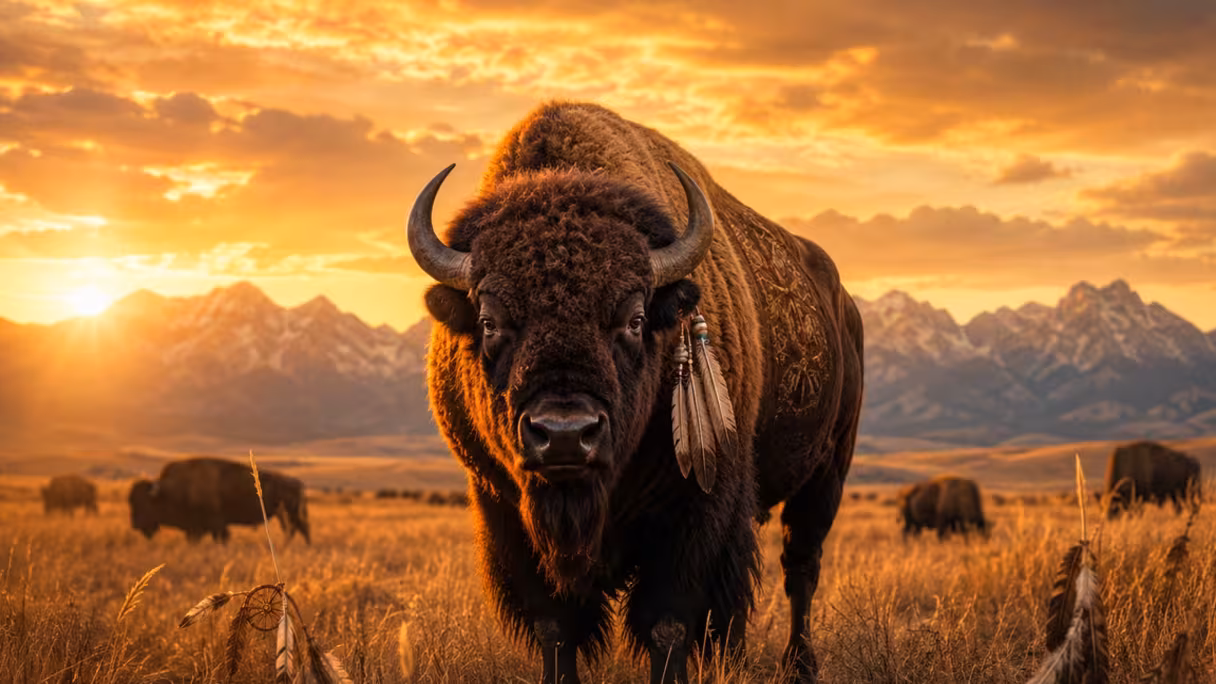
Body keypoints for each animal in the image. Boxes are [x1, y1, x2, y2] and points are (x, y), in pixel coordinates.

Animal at [129, 457, 310, 544]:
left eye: (145, 503)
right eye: (132, 501)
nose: (135, 525)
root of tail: (298, 483)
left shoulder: (215, 523)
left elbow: (221, 537)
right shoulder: (196, 527)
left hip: (292, 514)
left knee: (299, 530)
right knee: (296, 530)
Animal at [407, 102, 863, 683]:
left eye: (635, 317)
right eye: (489, 321)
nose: (564, 435)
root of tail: (843, 303)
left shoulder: (694, 510)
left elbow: (668, 622)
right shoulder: (504, 508)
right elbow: (556, 627)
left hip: (827, 472)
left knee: (800, 567)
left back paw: (800, 666)